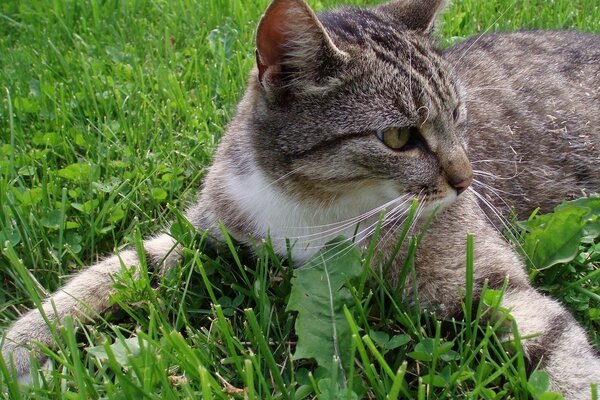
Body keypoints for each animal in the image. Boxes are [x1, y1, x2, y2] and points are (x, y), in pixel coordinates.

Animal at [1, 0, 600, 396]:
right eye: (399, 137)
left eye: (458, 115)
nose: (467, 180)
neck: (314, 204)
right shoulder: (212, 227)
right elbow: (119, 269)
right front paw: (24, 343)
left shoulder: (489, 279)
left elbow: (558, 348)